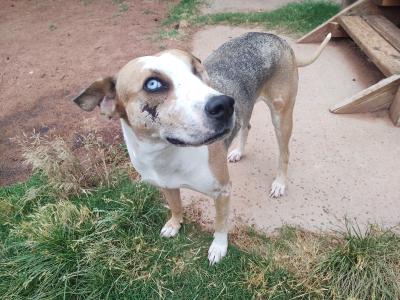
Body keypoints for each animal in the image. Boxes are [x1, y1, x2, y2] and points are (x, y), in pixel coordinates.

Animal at [72, 31, 332, 264]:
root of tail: (276, 38)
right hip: (248, 108)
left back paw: (279, 183)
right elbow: (176, 206)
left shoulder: (223, 192)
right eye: (153, 84)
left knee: (284, 152)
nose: (225, 104)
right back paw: (237, 152)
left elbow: (220, 223)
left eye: (197, 70)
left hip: (281, 116)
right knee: (245, 125)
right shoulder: (167, 185)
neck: (165, 154)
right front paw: (174, 224)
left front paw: (218, 247)